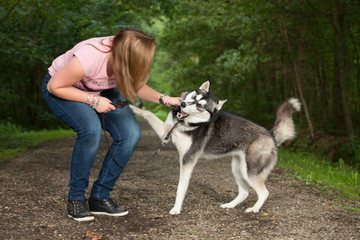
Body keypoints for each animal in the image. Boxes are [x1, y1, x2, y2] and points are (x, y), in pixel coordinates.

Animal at [129, 81, 300, 215]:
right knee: (244, 192)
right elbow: (149, 113)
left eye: (199, 106)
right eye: (193, 97)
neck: (185, 124)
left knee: (264, 192)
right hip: (237, 168)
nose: (182, 105)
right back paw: (229, 205)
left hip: (250, 172)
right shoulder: (165, 132)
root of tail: (270, 133)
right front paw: (132, 107)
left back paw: (254, 209)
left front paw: (176, 209)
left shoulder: (187, 160)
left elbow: (181, 187)